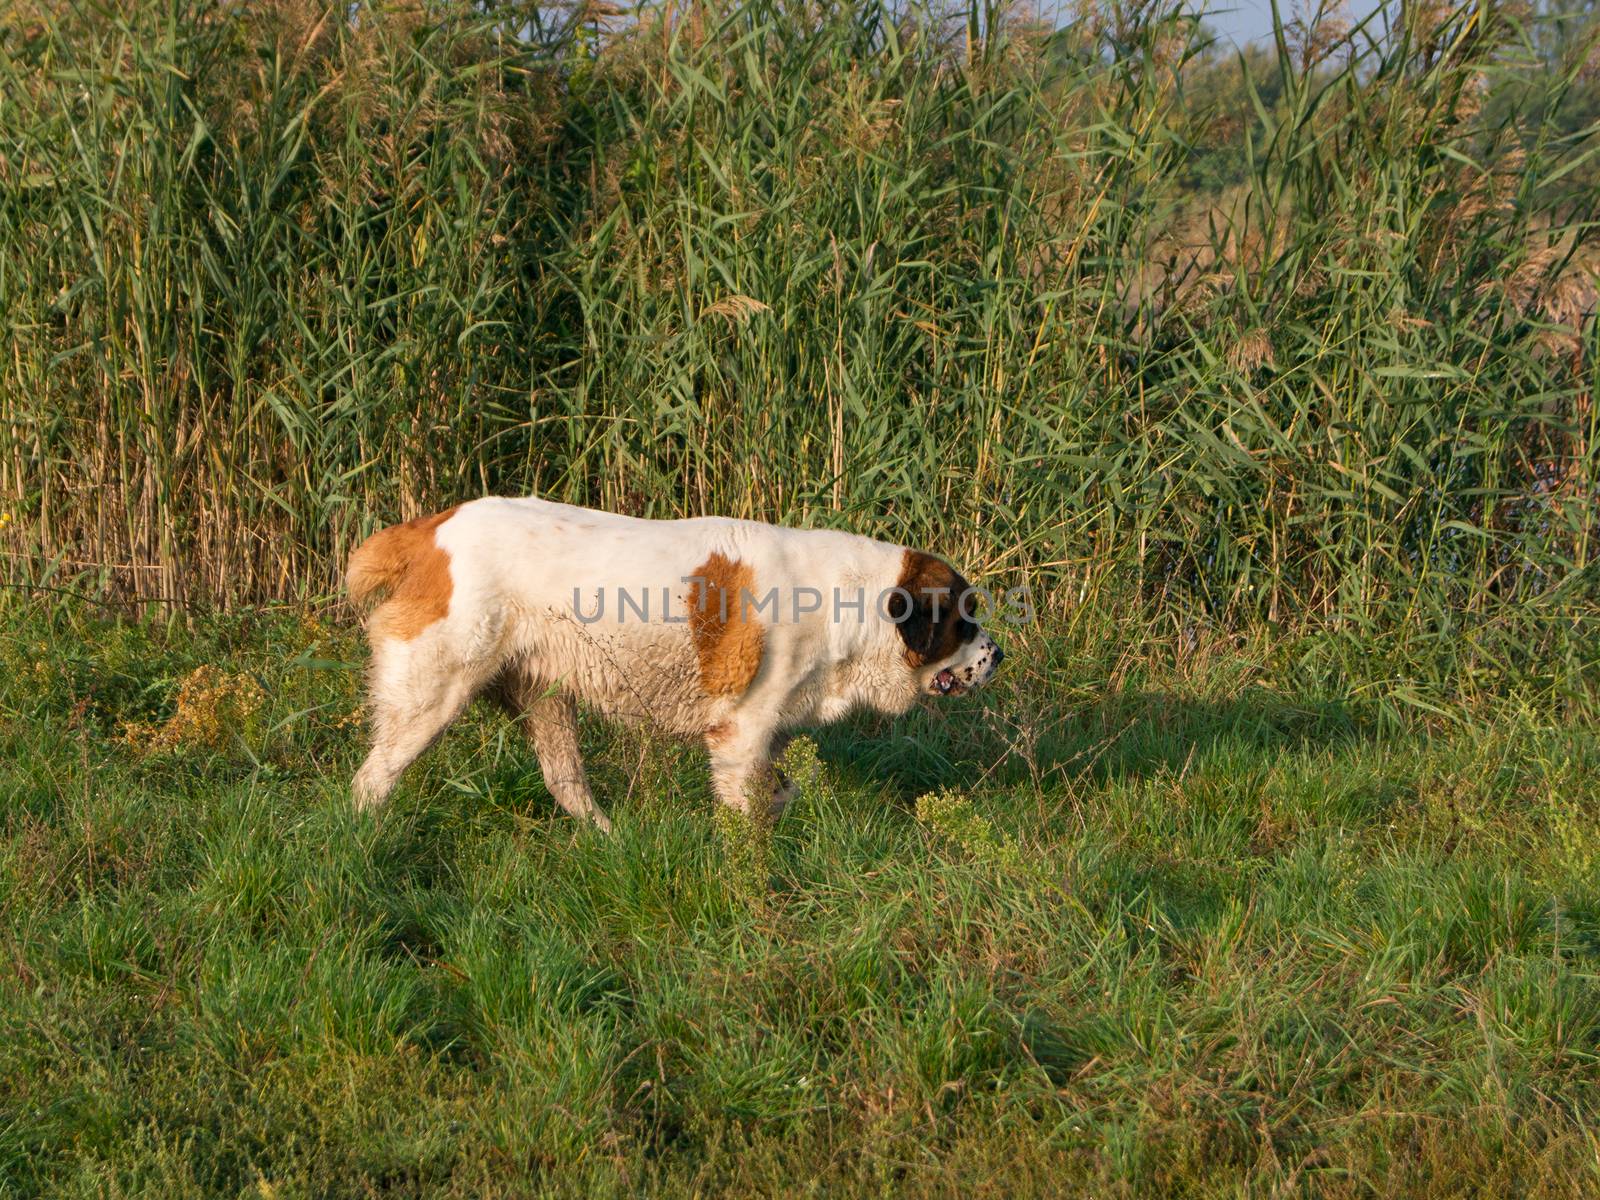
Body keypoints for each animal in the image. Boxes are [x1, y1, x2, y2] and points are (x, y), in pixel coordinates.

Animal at [345, 496, 1004, 825]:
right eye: (964, 621)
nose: (997, 655)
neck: (856, 603)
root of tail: (432, 528)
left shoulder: (768, 735)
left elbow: (777, 791)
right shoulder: (741, 731)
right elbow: (747, 813)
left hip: (544, 701)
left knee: (566, 782)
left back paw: (609, 840)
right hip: (432, 693)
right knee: (372, 779)